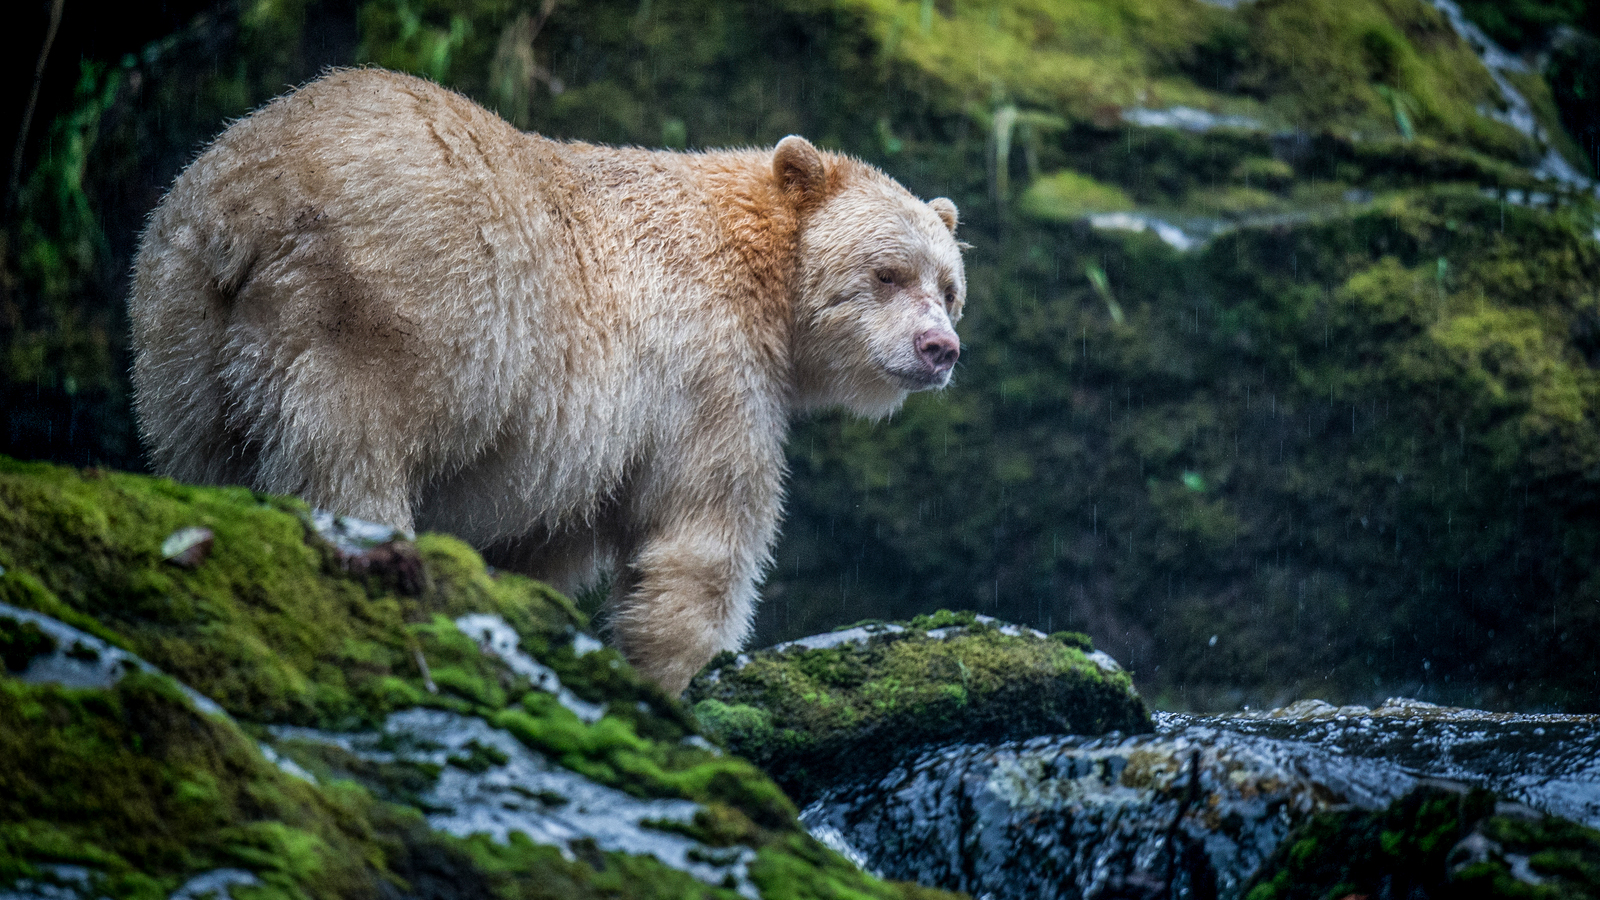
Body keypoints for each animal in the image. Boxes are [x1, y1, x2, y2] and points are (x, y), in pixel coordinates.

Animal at [131, 70, 960, 688]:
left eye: (949, 287)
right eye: (887, 273)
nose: (939, 348)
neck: (757, 263)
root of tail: (252, 201)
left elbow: (538, 543)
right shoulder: (705, 364)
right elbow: (703, 536)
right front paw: (681, 673)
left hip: (185, 328)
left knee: (210, 452)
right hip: (376, 318)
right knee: (348, 458)